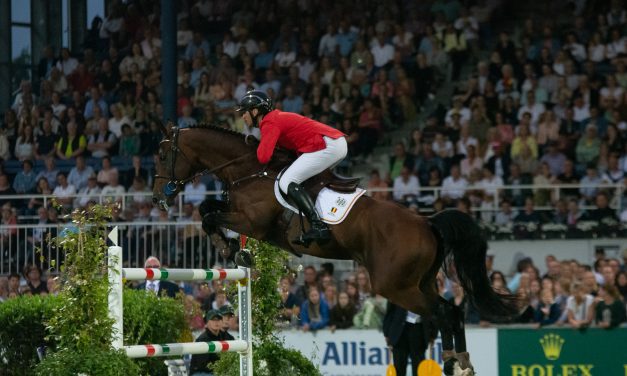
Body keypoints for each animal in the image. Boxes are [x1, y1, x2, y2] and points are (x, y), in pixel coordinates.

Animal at [151, 124, 516, 374]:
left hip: (394, 285)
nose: (157, 198)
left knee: (442, 313)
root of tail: (428, 223)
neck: (249, 169)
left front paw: (229, 248)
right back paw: (460, 362)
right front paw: (232, 249)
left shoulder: (252, 222)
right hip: (419, 281)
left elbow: (208, 215)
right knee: (451, 311)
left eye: (163, 155)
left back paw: (456, 363)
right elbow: (208, 209)